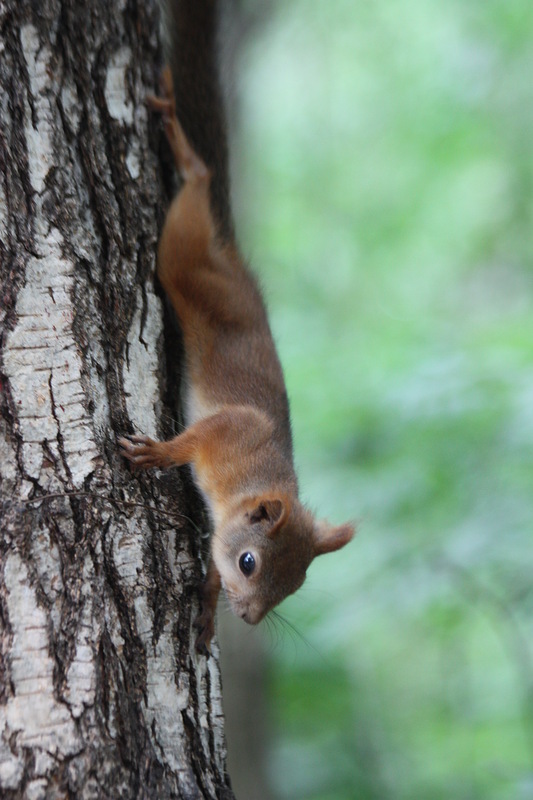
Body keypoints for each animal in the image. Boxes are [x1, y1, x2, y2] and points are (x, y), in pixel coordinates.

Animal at [119, 0, 354, 656]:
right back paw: (185, 152)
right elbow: (191, 441)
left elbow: (207, 570)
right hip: (187, 265)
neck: (249, 484)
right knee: (194, 191)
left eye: (295, 586)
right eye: (250, 562)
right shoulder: (229, 432)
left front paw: (205, 605)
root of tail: (232, 260)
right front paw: (156, 453)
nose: (248, 618)